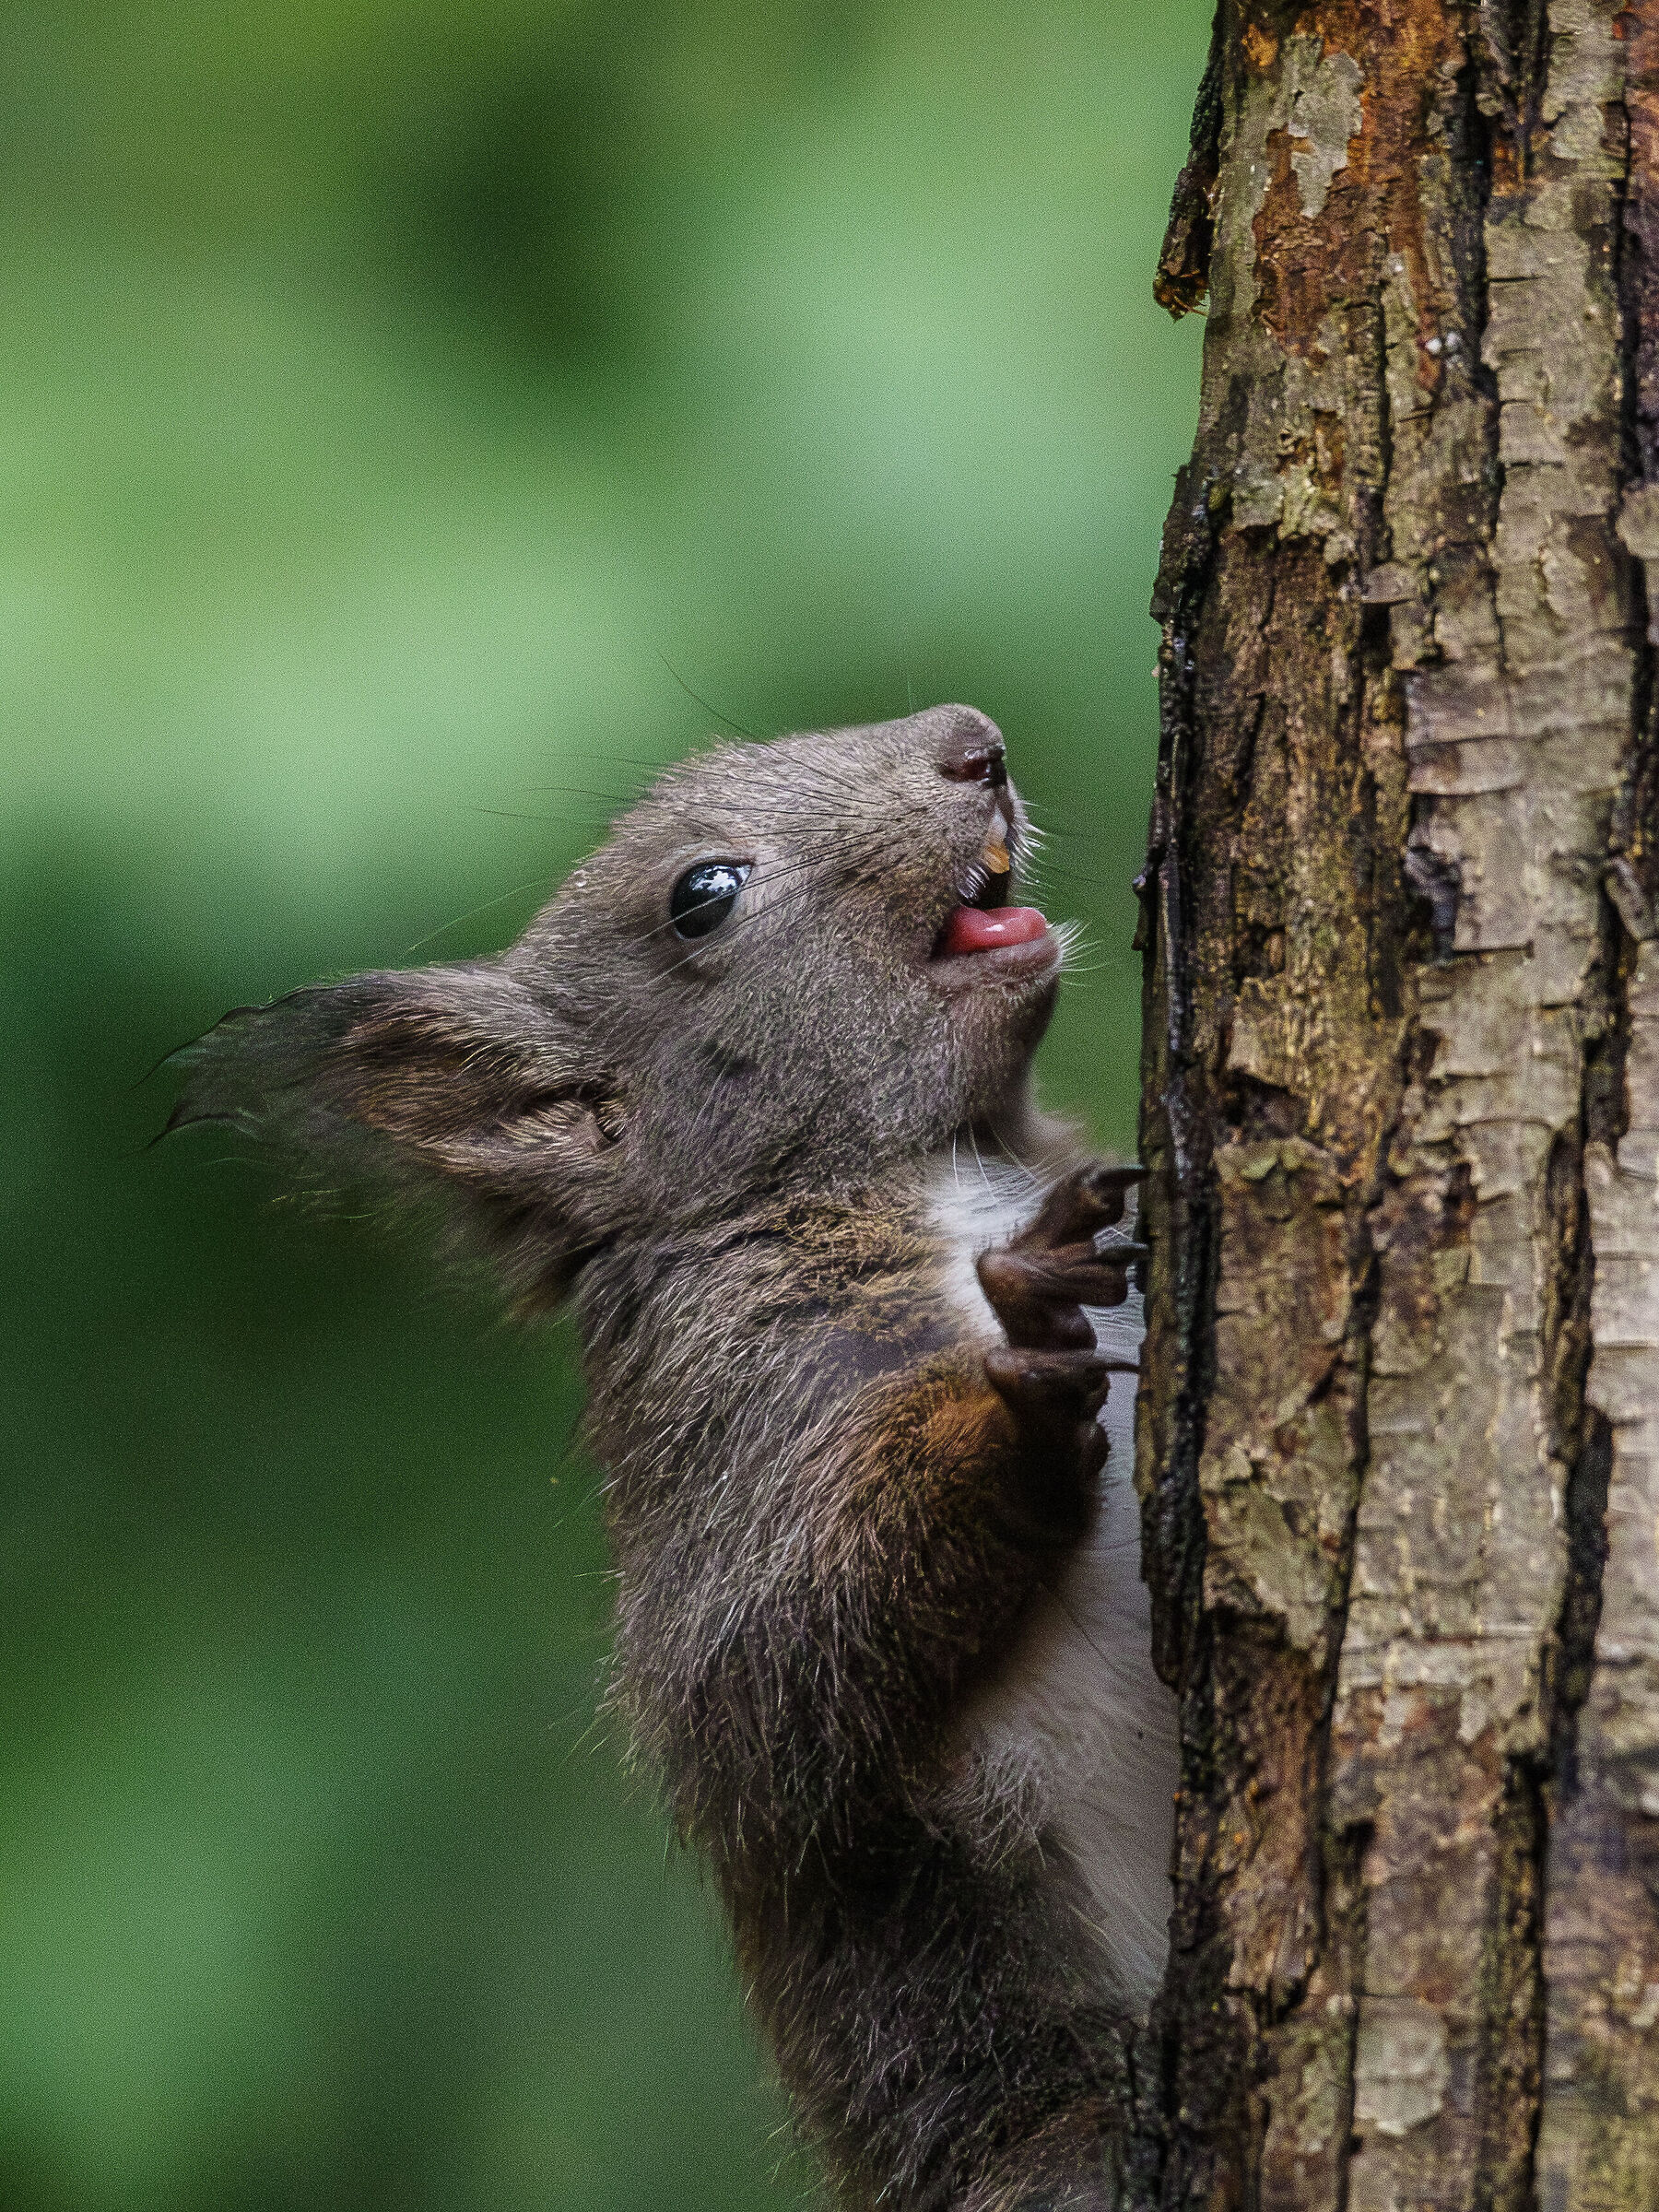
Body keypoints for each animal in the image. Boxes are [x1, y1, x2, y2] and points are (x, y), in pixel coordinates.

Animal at [173, 702, 1179, 2212]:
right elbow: (776, 1662)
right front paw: (1022, 1392)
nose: (971, 740)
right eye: (703, 894)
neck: (940, 1174)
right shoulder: (730, 1418)